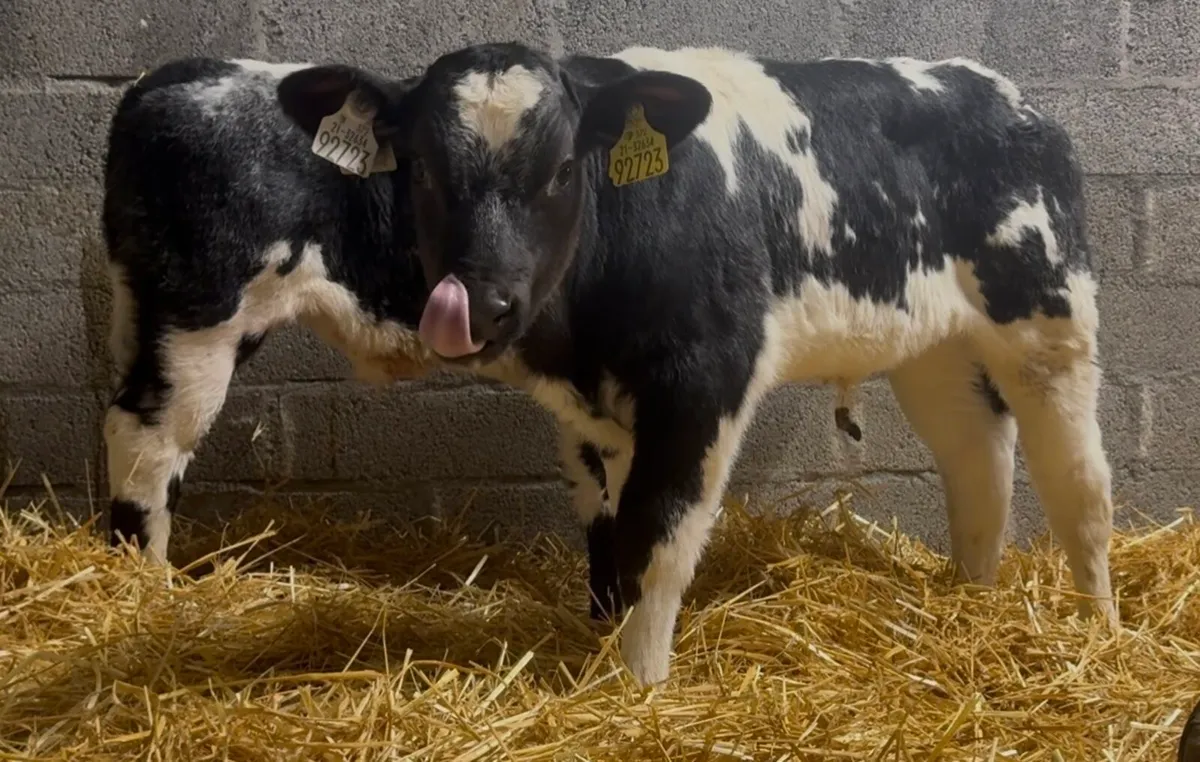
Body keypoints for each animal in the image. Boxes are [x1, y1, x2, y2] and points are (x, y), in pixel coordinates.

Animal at [273, 41, 1121, 686]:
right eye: (418, 167)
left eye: (562, 168)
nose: (481, 302)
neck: (580, 338)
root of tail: (1002, 90)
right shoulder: (588, 416)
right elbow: (607, 535)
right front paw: (606, 647)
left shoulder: (703, 383)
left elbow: (658, 535)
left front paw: (640, 685)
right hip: (935, 350)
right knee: (978, 460)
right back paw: (971, 599)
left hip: (1052, 318)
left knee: (1078, 484)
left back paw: (1099, 629)